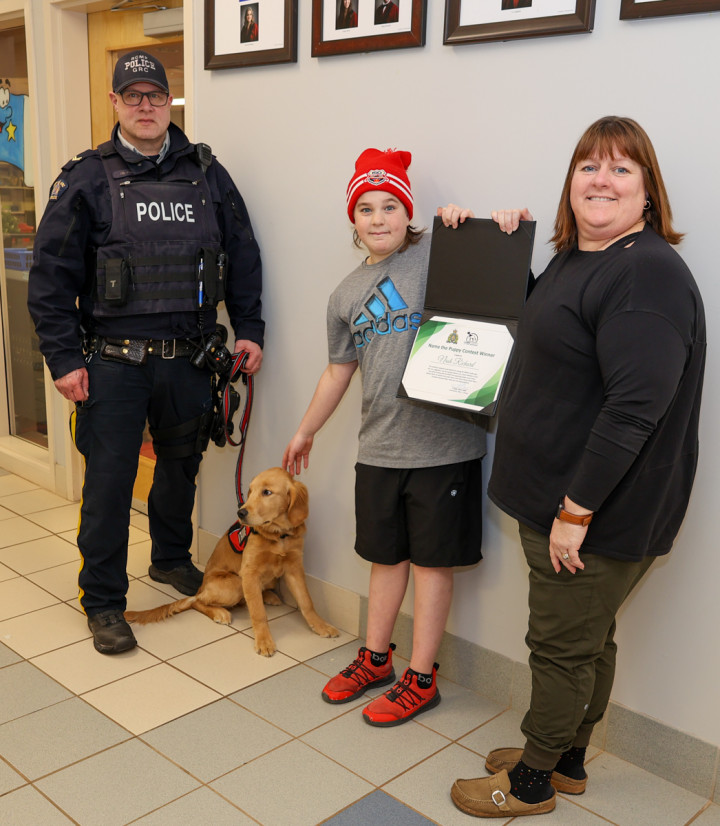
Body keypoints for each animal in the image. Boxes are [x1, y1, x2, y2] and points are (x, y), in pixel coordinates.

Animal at [125, 466, 338, 652]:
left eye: (267, 492)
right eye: (250, 492)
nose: (240, 512)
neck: (279, 536)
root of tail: (201, 587)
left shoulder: (294, 568)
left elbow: (306, 601)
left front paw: (321, 626)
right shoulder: (249, 572)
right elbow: (258, 613)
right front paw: (264, 641)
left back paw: (268, 596)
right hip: (234, 582)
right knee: (198, 601)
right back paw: (220, 612)